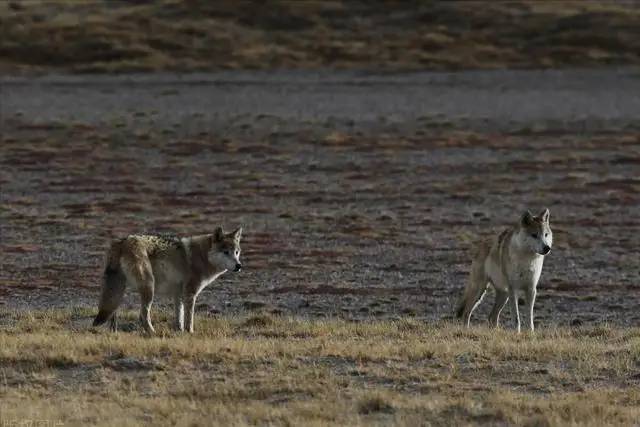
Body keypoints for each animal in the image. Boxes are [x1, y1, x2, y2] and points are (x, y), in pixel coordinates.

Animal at [94, 227, 244, 334]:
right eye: (226, 252)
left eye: (236, 252)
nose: (239, 266)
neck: (203, 256)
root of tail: (121, 242)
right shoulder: (190, 293)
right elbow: (189, 318)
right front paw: (190, 333)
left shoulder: (178, 294)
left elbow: (179, 316)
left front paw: (180, 331)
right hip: (149, 288)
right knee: (143, 315)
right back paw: (153, 333)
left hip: (120, 290)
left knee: (113, 312)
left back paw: (114, 333)